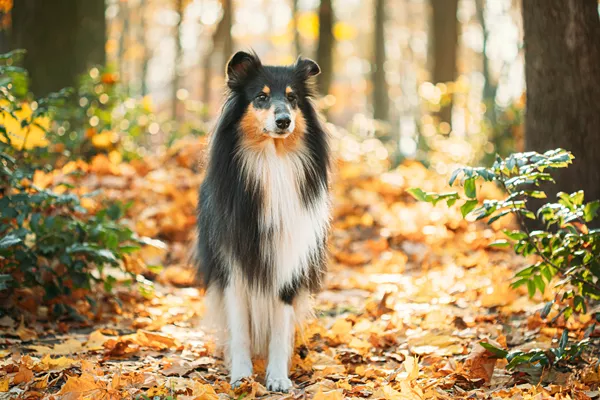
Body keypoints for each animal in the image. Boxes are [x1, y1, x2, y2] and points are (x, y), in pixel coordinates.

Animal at [196, 51, 328, 392]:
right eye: (261, 97)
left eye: (292, 98)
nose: (284, 121)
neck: (272, 162)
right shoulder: (232, 266)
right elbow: (240, 328)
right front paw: (242, 376)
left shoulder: (288, 261)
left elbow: (280, 328)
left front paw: (278, 377)